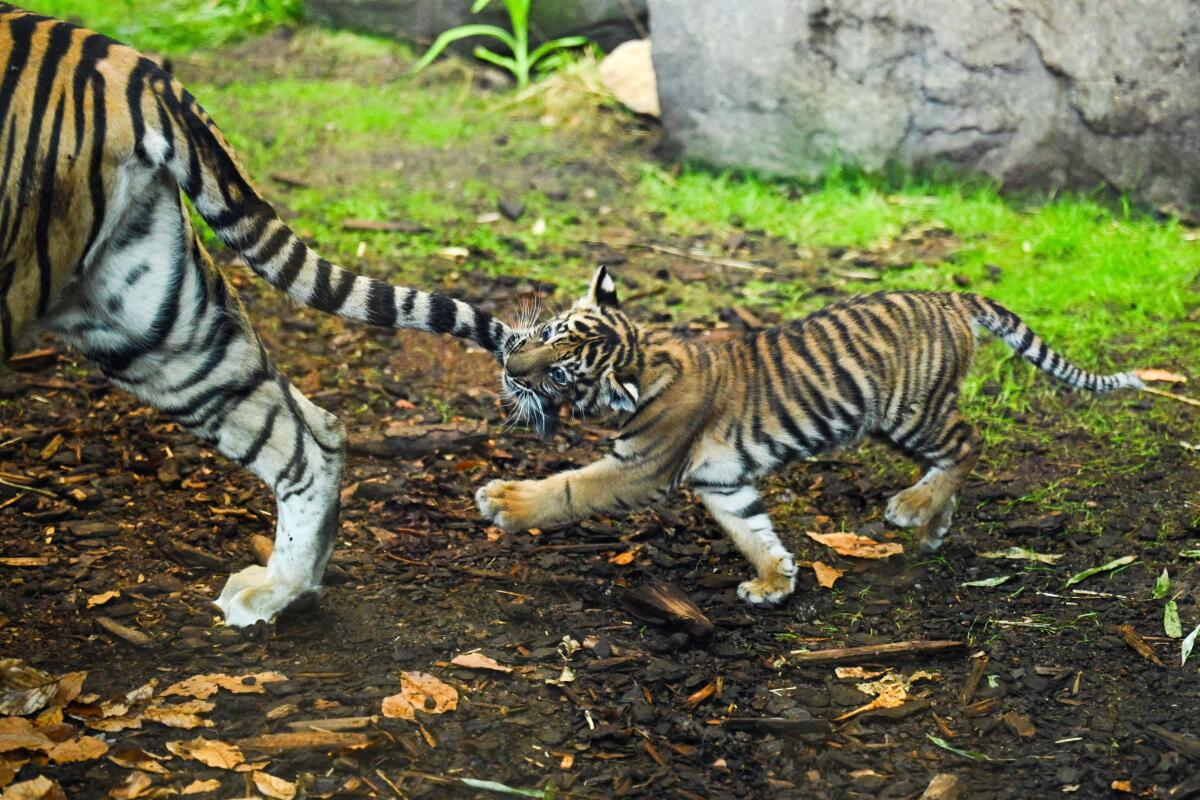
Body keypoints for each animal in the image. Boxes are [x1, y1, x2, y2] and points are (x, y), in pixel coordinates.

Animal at [476, 266, 1145, 605]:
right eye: (549, 332)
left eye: (561, 371)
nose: (510, 366)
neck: (646, 358)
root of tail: (948, 297)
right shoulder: (724, 483)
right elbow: (751, 530)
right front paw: (775, 581)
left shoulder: (640, 467)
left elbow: (572, 488)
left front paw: (506, 501)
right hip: (901, 421)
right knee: (954, 453)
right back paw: (933, 527)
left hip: (910, 411)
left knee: (968, 443)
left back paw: (913, 509)